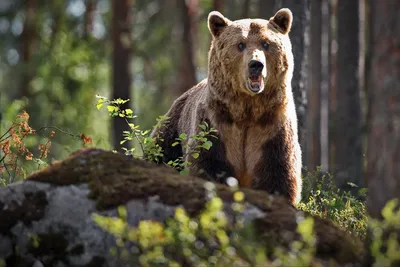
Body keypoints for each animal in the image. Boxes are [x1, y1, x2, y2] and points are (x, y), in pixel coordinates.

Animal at [152, 8, 302, 205]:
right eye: (240, 44)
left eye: (266, 43)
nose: (256, 64)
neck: (247, 109)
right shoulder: (216, 124)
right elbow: (208, 165)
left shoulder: (271, 129)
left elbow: (276, 175)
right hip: (172, 131)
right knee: (161, 153)